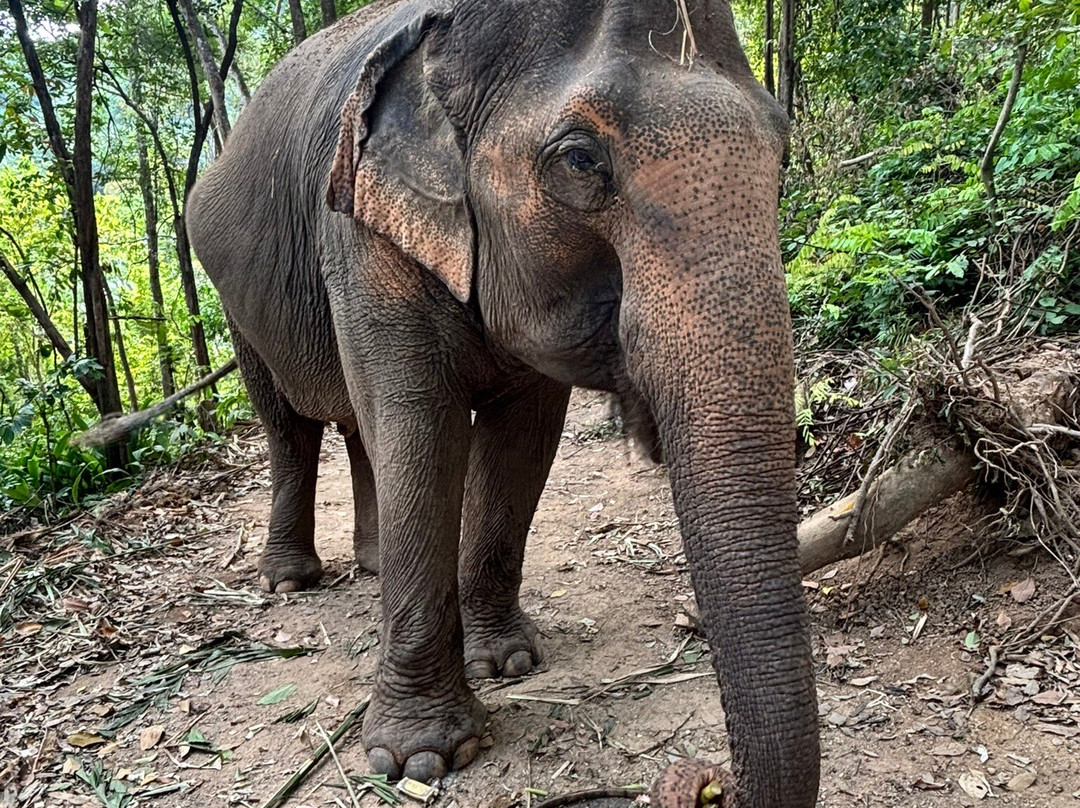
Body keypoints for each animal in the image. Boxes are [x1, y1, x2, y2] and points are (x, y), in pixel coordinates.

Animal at [186, 0, 819, 805]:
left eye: (783, 149)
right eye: (580, 161)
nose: (705, 784)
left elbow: (522, 440)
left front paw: (509, 663)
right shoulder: (358, 234)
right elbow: (419, 430)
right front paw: (418, 759)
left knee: (358, 427)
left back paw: (371, 563)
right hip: (233, 300)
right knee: (288, 425)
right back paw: (290, 579)